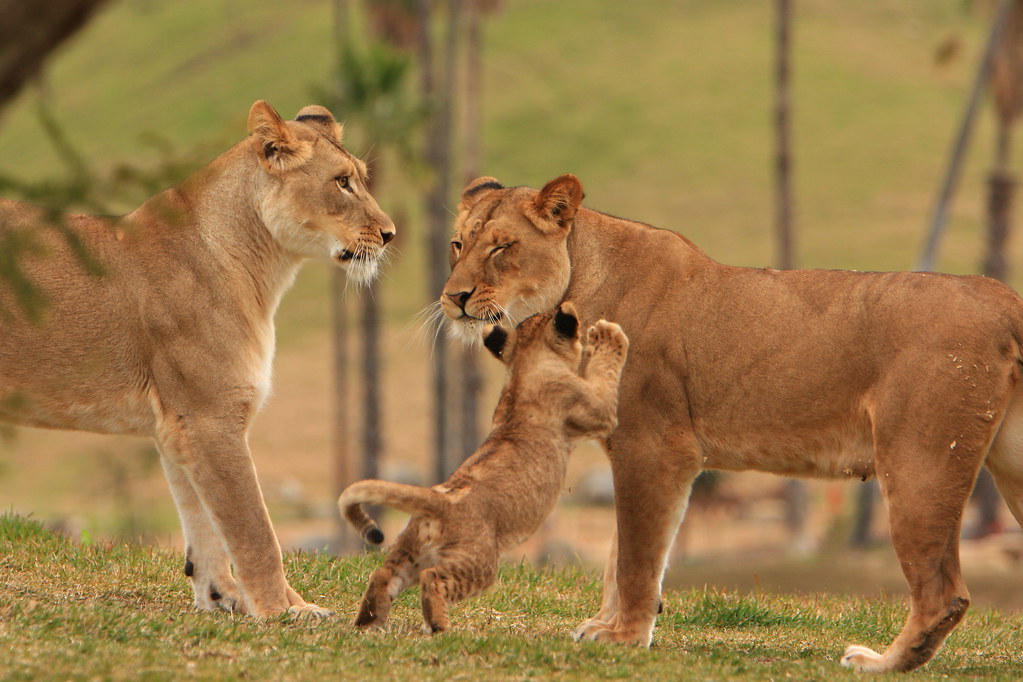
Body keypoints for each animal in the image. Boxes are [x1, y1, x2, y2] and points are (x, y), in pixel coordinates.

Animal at [0, 100, 395, 618]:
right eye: (342, 182)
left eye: (361, 178)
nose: (390, 234)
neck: (263, 270)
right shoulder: (212, 417)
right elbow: (254, 530)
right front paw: (283, 612)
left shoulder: (177, 426)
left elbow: (204, 524)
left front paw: (225, 598)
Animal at [338, 303, 629, 633]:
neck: (525, 364)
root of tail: (439, 500)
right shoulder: (596, 409)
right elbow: (606, 373)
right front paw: (609, 334)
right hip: (478, 562)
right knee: (432, 579)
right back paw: (440, 627)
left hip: (409, 552)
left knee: (382, 576)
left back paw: (368, 624)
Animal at [440, 173, 1023, 672]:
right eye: (457, 245)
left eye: (501, 247)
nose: (453, 297)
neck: (576, 285)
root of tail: (1004, 297)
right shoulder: (644, 452)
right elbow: (621, 550)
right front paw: (609, 626)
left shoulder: (654, 446)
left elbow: (636, 553)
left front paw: (624, 637)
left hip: (919, 463)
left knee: (943, 592)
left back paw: (879, 663)